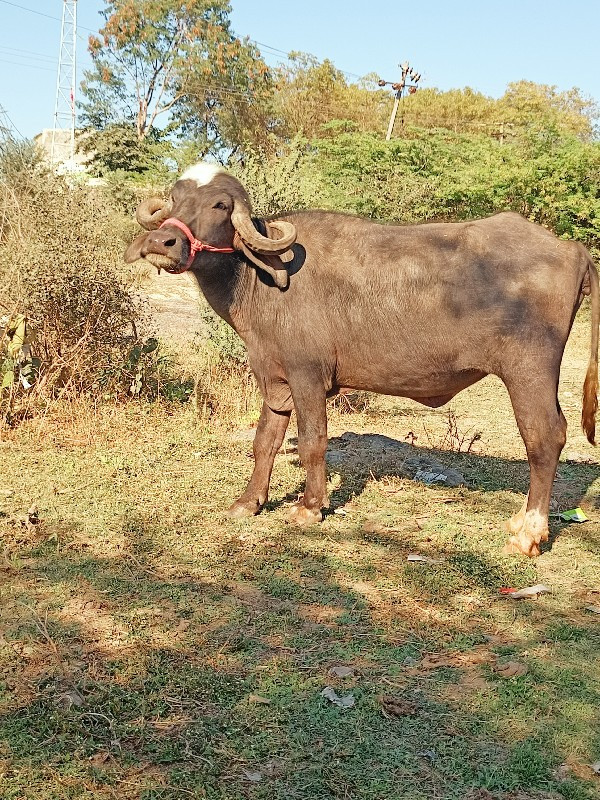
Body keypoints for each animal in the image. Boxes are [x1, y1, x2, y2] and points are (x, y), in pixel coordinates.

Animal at [124, 162, 596, 556]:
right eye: (175, 197)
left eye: (220, 205)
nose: (161, 242)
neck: (260, 279)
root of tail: (571, 248)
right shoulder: (274, 377)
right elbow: (265, 441)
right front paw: (249, 501)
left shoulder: (307, 375)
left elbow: (313, 441)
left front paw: (309, 507)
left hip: (528, 371)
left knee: (545, 437)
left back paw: (529, 533)